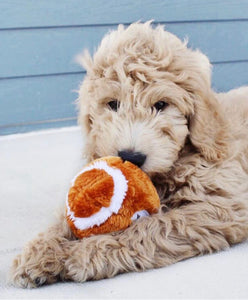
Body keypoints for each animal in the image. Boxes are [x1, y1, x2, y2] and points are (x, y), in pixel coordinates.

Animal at [9, 21, 248, 288]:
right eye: (113, 104)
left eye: (161, 105)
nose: (131, 157)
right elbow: (64, 218)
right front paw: (40, 253)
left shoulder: (223, 205)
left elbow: (153, 225)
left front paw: (87, 253)